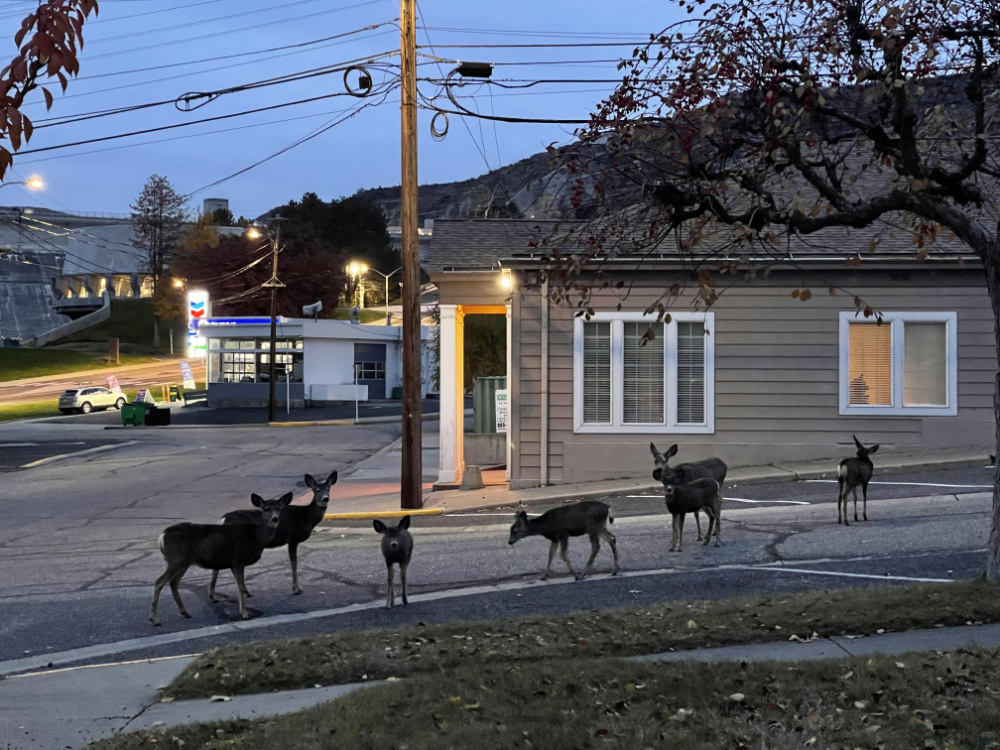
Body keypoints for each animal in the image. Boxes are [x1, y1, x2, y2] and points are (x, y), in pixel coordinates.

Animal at [149, 492, 293, 626]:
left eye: (279, 507)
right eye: (265, 508)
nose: (275, 519)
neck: (255, 538)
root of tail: (162, 536)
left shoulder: (236, 563)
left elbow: (240, 585)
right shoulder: (238, 560)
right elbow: (240, 587)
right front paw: (244, 613)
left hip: (184, 562)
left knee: (173, 582)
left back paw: (185, 613)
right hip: (177, 559)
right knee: (159, 582)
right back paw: (154, 619)